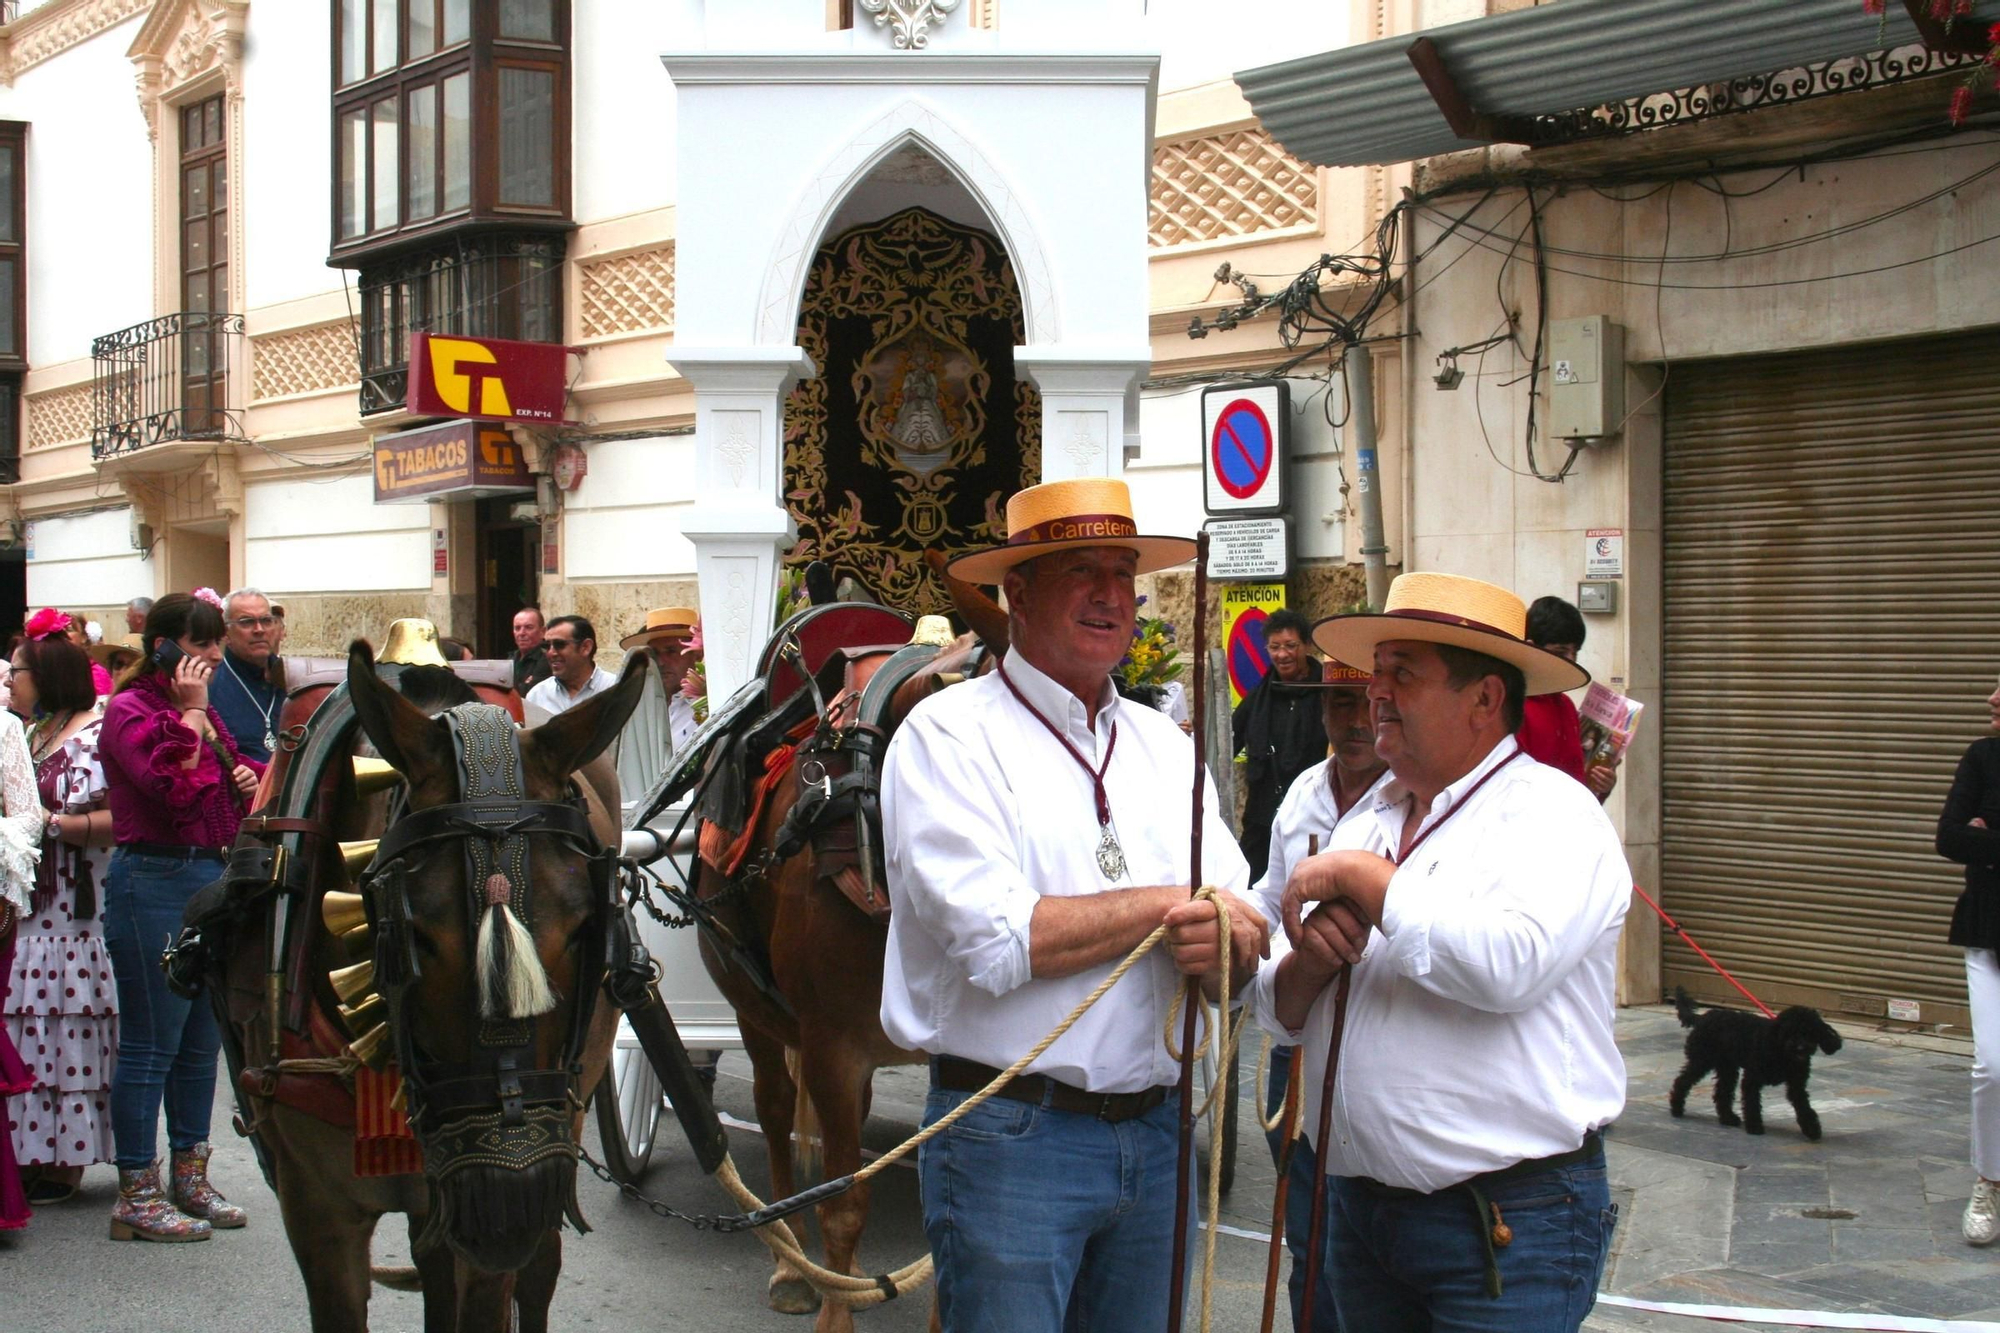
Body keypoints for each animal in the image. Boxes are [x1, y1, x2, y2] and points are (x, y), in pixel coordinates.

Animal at [1672, 980, 1840, 1136]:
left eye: (1809, 1032)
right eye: (1789, 1032)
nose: (1800, 1048)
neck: (1782, 1053)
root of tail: (1700, 1018)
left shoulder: (1796, 1085)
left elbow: (1804, 1106)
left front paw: (1812, 1129)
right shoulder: (1752, 1080)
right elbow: (1752, 1103)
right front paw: (1754, 1126)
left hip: (1727, 1067)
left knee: (1722, 1092)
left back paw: (1728, 1118)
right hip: (1702, 1060)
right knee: (1683, 1081)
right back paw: (1676, 1108)